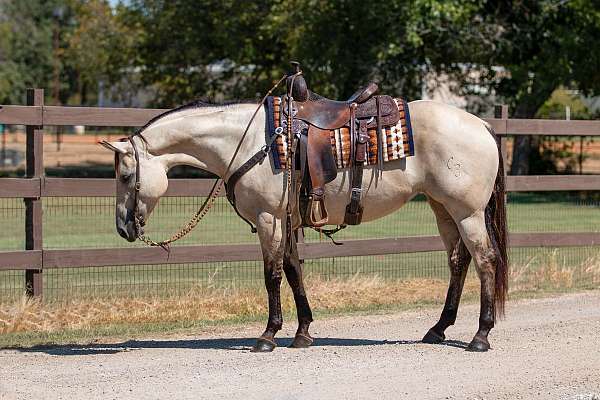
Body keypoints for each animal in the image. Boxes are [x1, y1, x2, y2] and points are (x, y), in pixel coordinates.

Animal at [99, 72, 506, 354]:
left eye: (125, 175)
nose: (122, 227)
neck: (252, 140)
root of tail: (482, 125)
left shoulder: (269, 218)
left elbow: (272, 275)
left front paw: (268, 335)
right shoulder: (287, 220)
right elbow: (294, 272)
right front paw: (303, 331)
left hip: (467, 212)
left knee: (485, 260)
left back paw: (480, 335)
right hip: (443, 209)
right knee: (459, 261)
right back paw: (438, 329)